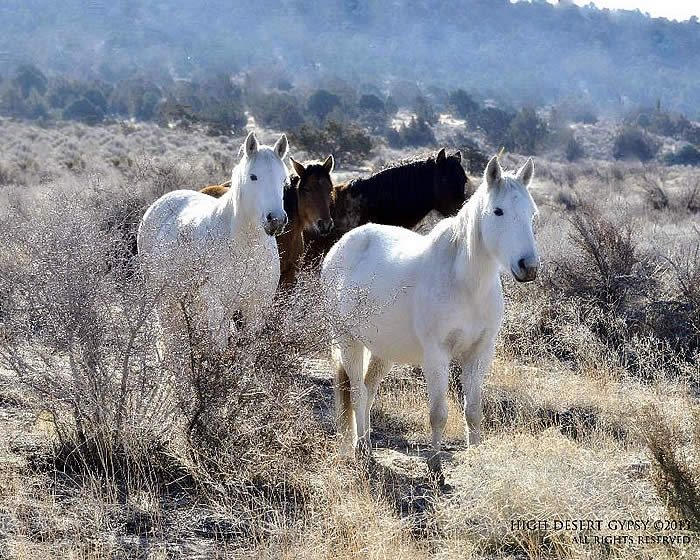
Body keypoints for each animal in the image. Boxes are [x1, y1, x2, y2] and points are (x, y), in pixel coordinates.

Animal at [137, 132, 290, 354]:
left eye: (284, 180)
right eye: (253, 176)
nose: (276, 220)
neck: (245, 250)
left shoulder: (257, 309)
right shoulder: (217, 308)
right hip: (166, 302)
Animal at [320, 154, 540, 460]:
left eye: (532, 214)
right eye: (498, 211)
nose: (528, 267)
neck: (466, 286)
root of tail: (341, 246)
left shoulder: (479, 354)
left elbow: (473, 412)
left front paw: (475, 458)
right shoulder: (437, 355)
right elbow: (438, 414)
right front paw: (435, 464)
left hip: (382, 350)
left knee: (368, 388)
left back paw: (366, 445)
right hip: (348, 341)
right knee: (356, 392)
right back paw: (360, 449)